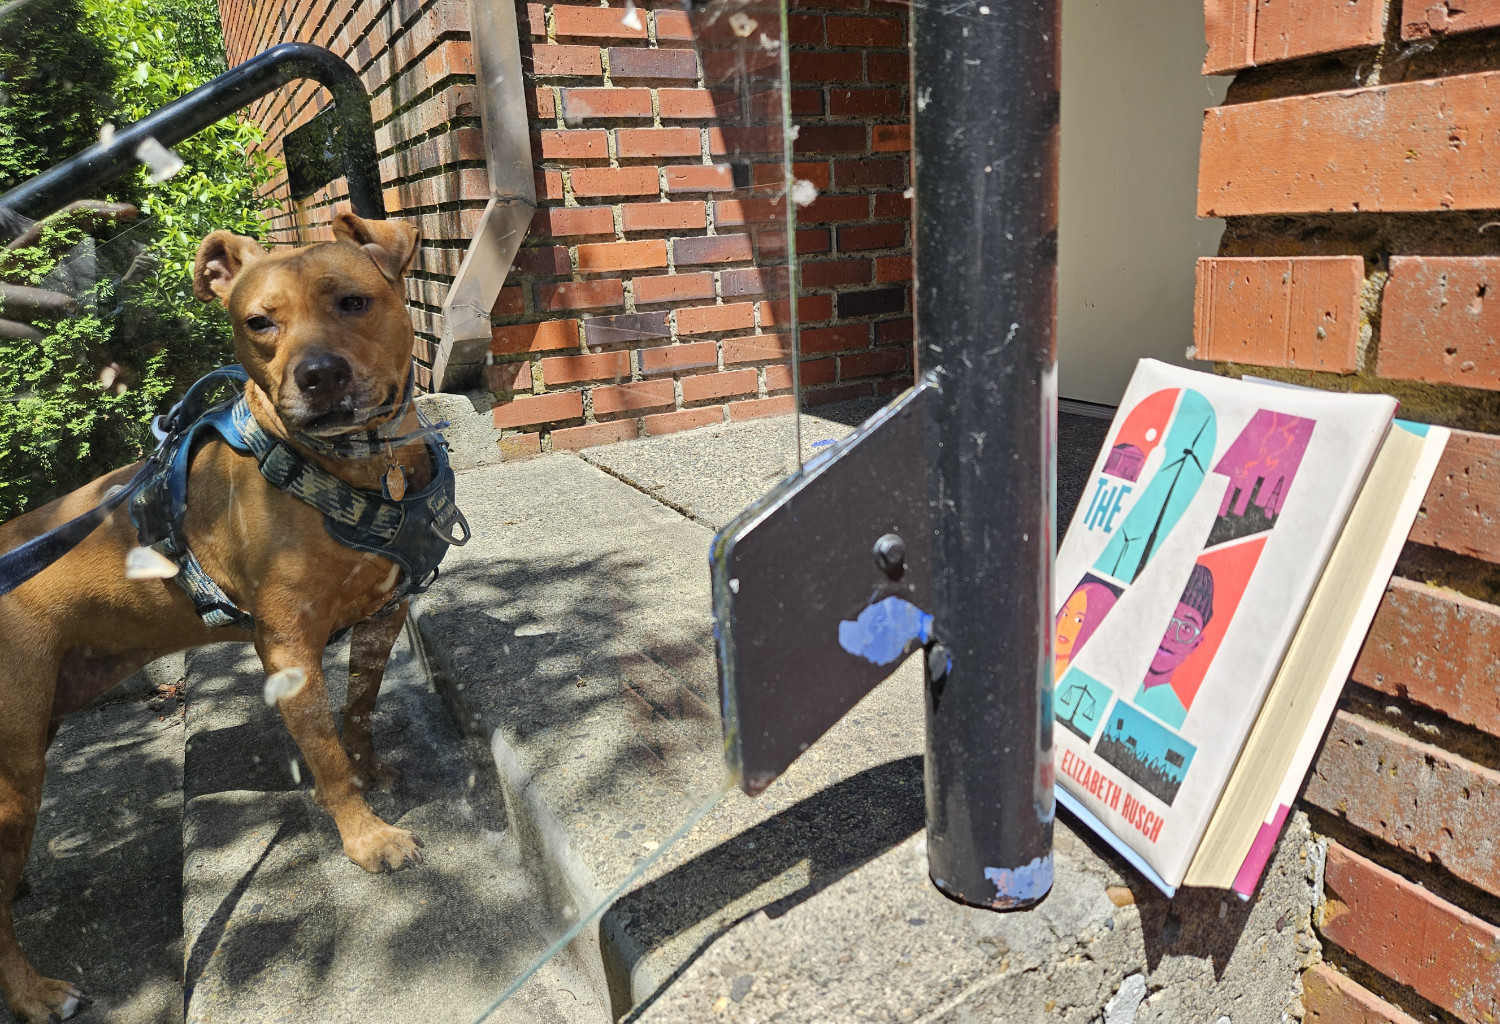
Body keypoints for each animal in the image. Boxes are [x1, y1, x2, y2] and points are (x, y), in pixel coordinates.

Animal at [0, 212, 438, 1019]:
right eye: (258, 322)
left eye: (353, 302)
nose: (318, 375)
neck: (353, 471)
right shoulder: (289, 652)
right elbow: (326, 755)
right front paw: (366, 838)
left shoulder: (383, 615)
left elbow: (358, 711)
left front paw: (374, 770)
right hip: (15, 774)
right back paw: (36, 992)